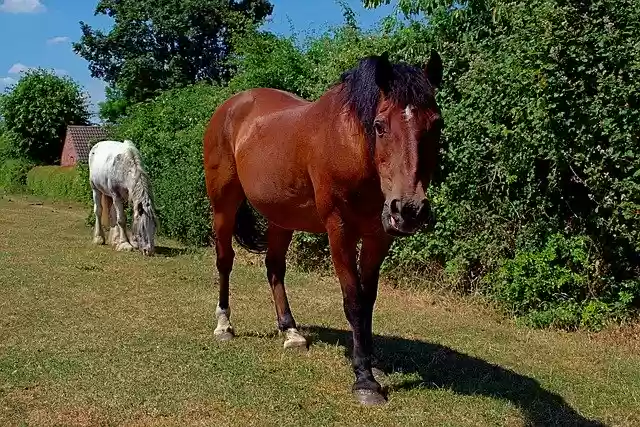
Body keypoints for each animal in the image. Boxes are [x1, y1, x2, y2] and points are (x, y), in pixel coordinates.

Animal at [203, 50, 444, 405]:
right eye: (380, 126)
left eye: (436, 124)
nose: (409, 210)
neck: (352, 146)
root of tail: (230, 106)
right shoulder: (339, 231)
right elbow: (353, 301)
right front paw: (365, 380)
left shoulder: (378, 236)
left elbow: (368, 301)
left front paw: (370, 361)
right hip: (224, 205)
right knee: (224, 261)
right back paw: (223, 325)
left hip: (281, 217)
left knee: (274, 267)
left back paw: (291, 332)